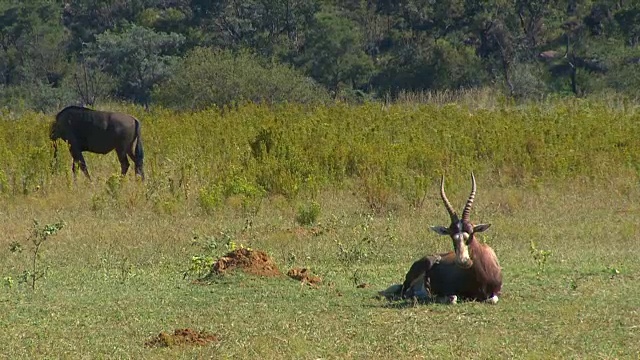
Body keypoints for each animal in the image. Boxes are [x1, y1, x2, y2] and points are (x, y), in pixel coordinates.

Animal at [382, 173, 502, 306]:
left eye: (471, 233)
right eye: (452, 236)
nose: (463, 261)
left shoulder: (497, 292)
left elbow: (493, 299)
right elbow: (453, 298)